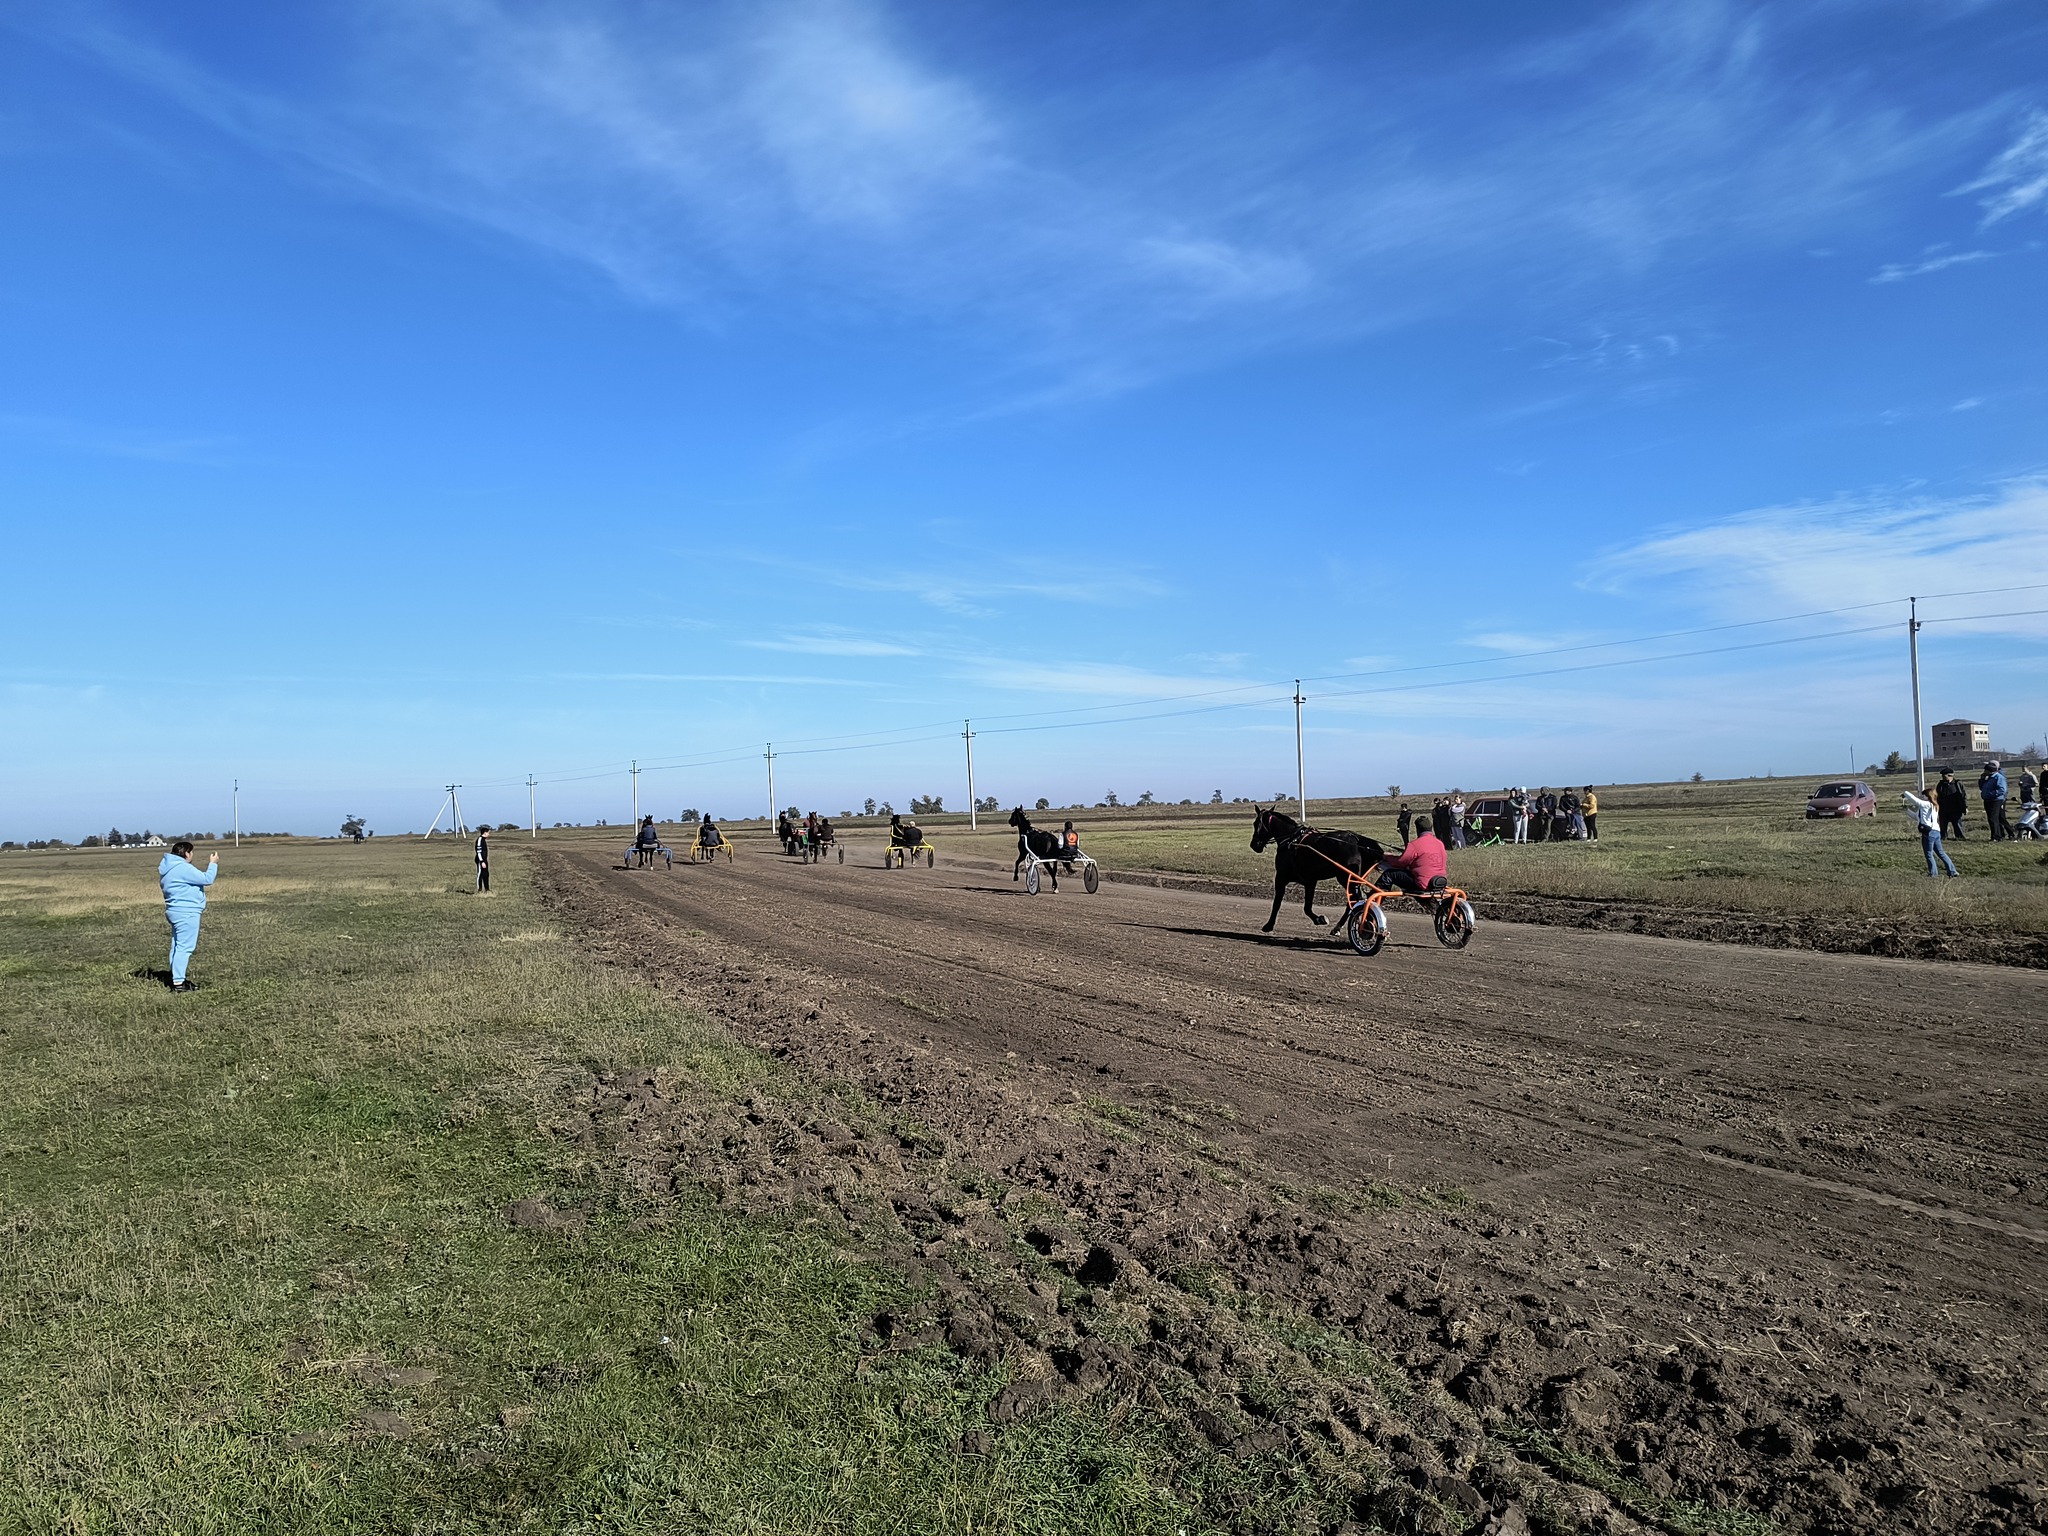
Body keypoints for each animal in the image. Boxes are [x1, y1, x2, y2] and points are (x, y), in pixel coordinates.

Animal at [1236, 811, 1384, 933]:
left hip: (1346, 877)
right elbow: (1307, 907)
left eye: (1256, 823)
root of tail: (1357, 839)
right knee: (1354, 901)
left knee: (1356, 901)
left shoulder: (1281, 878)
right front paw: (1319, 919)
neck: (1292, 840)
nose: (1254, 845)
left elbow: (1277, 903)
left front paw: (1269, 925)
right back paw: (1339, 927)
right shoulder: (1310, 881)